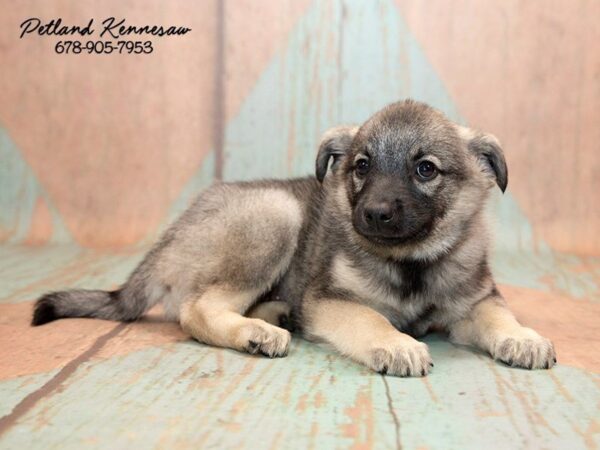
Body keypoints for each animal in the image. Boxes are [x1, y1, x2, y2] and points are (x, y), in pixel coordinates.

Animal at [34, 101, 556, 376]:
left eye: (426, 169)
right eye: (361, 166)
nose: (373, 213)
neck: (409, 263)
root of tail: (168, 241)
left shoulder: (474, 301)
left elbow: (498, 316)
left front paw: (522, 338)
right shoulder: (331, 300)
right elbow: (371, 319)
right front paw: (398, 344)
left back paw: (274, 313)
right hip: (276, 215)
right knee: (195, 311)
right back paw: (256, 332)